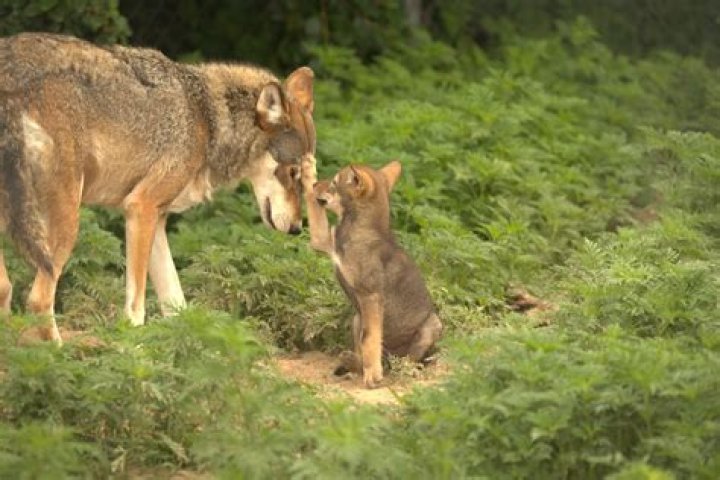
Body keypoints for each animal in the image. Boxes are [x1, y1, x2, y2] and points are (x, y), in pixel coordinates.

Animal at [0, 32, 316, 342]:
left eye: (307, 178)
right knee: (39, 299)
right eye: (292, 172)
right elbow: (136, 310)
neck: (207, 119)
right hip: (67, 224)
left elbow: (177, 306)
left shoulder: (156, 219)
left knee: (6, 289)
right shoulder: (142, 208)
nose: (297, 229)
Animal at [301, 155, 443, 388]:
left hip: (431, 326)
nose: (316, 185)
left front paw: (373, 376)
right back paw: (351, 364)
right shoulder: (322, 242)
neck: (356, 230)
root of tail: (391, 357)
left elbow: (370, 338)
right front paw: (306, 170)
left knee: (406, 362)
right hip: (356, 318)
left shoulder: (371, 296)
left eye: (334, 183)